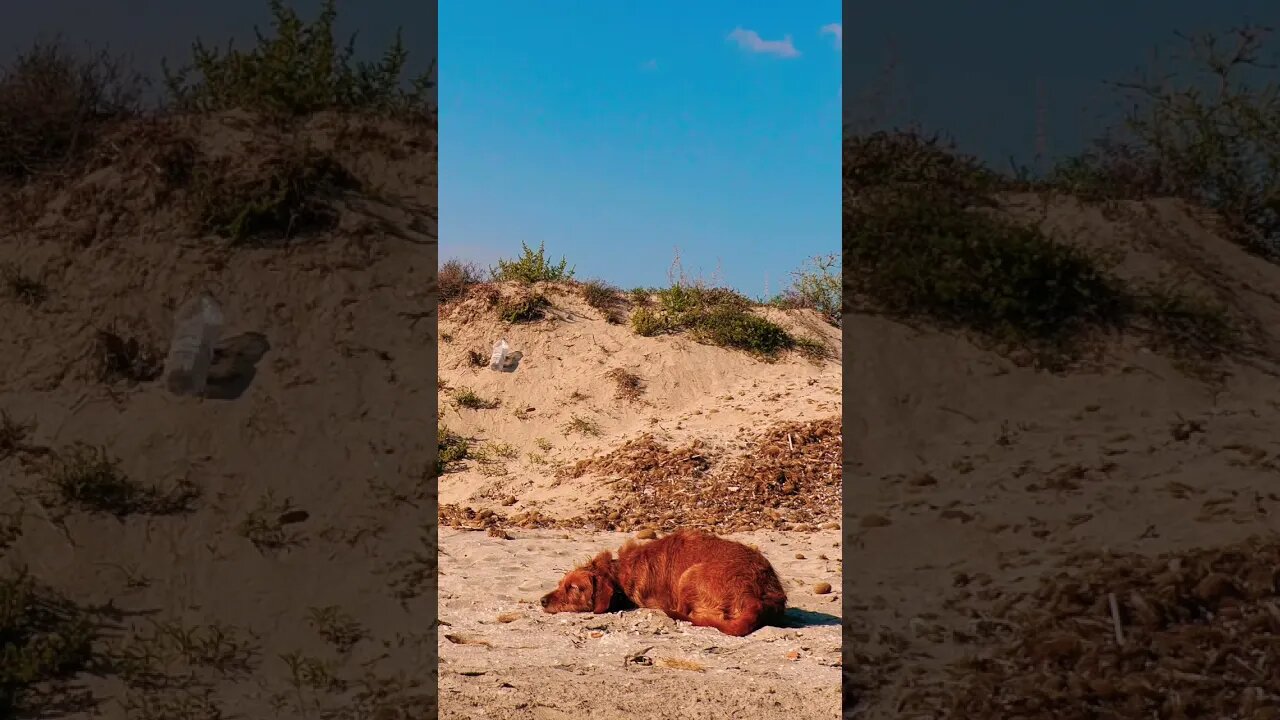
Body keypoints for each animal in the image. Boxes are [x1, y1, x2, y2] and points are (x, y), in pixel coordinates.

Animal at [537, 527, 783, 632]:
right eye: (560, 584)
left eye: (573, 588)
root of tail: (756, 596)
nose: (542, 601)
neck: (621, 571)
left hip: (689, 575)